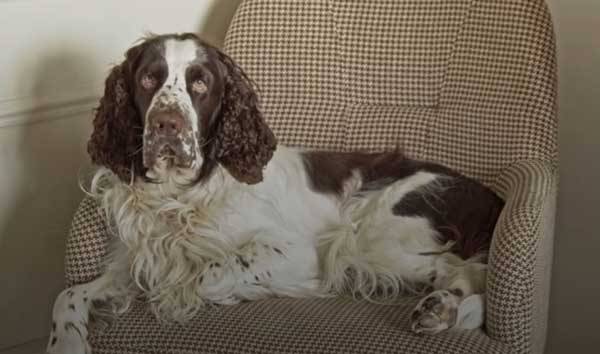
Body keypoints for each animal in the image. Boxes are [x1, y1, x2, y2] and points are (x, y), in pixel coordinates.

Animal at [47, 34, 504, 354]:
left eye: (200, 84)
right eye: (147, 79)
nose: (166, 124)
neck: (181, 196)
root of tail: (491, 199)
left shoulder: (298, 253)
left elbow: (207, 274)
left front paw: (187, 296)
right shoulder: (133, 262)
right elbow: (69, 295)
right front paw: (66, 341)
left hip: (369, 238)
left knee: (466, 270)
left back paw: (441, 307)